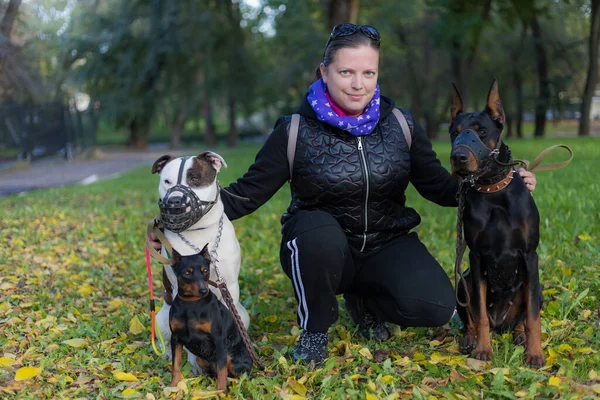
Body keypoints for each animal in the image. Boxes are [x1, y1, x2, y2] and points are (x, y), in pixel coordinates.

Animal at [152, 152, 251, 374]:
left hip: (242, 313)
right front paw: (194, 364)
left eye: (194, 178)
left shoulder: (230, 286)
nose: (175, 201)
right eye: (167, 181)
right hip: (162, 318)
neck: (198, 231)